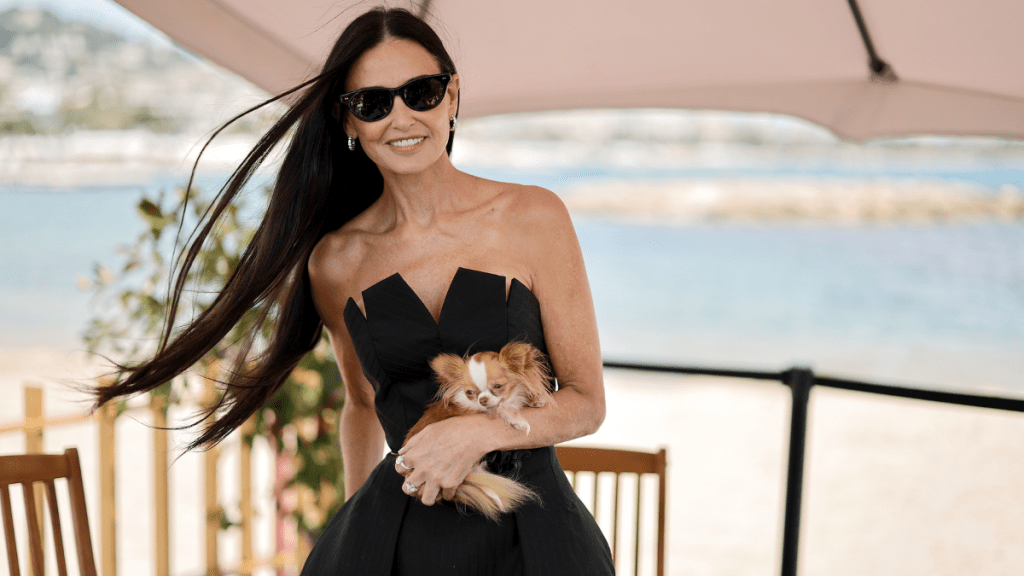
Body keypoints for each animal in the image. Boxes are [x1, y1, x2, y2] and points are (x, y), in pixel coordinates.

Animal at [403, 340, 557, 520]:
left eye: (498, 386)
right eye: (470, 392)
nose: (482, 399)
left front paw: (535, 400)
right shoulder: (473, 410)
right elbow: (505, 408)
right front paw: (518, 419)